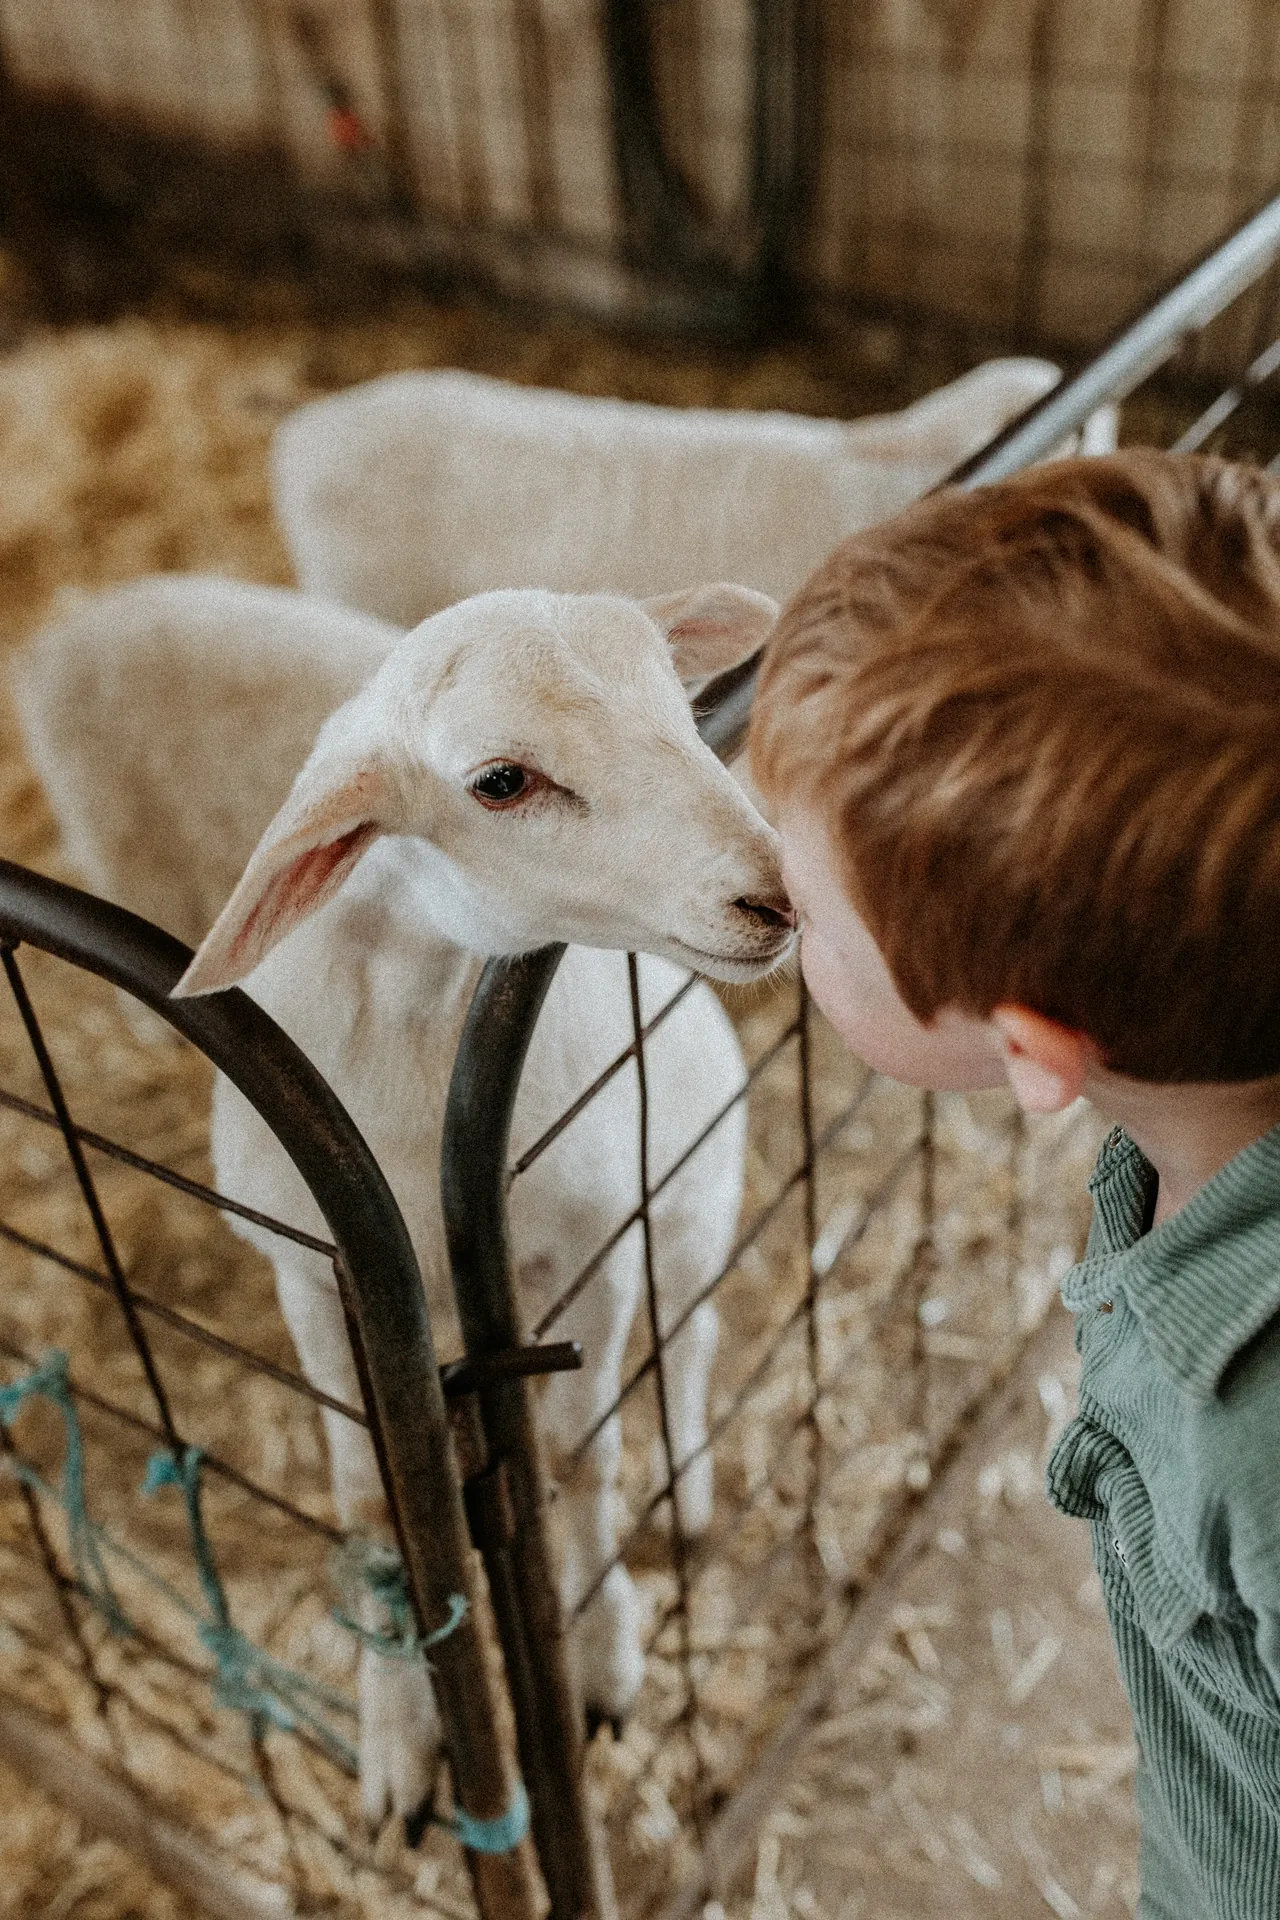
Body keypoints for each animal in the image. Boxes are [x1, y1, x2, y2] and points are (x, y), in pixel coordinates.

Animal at [15, 573, 794, 1830]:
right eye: (500, 783)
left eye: (680, 706)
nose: (772, 897)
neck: (417, 1031)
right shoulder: (320, 1275)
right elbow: (372, 1505)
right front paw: (398, 1742)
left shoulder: (586, 1246)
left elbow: (580, 1457)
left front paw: (600, 1665)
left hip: (689, 1200)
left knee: (692, 1335)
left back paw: (685, 1482)